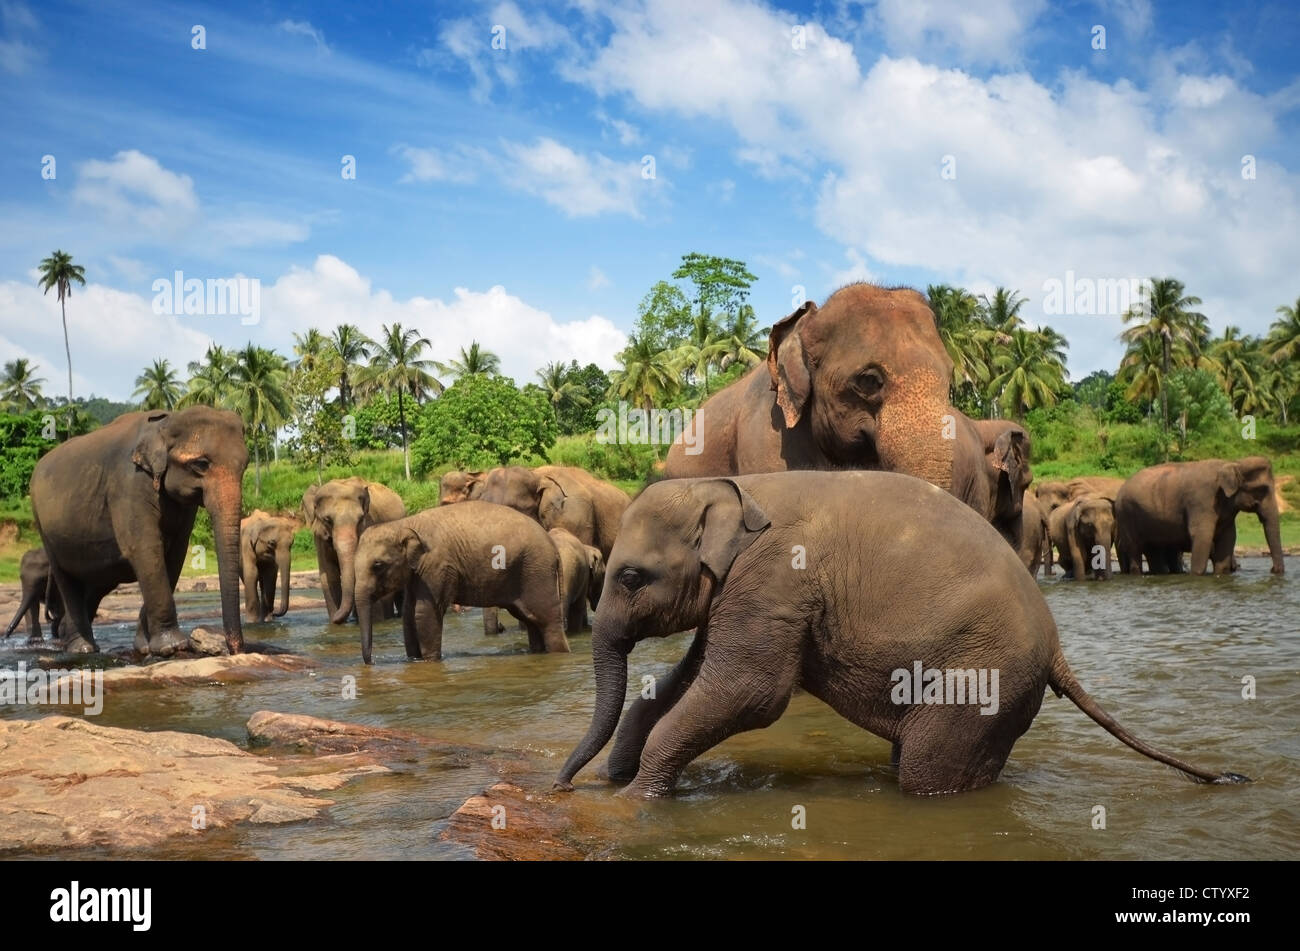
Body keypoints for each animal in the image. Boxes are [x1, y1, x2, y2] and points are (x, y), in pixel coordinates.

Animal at [29, 407, 247, 656]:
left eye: (245, 466)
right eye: (201, 464)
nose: (236, 650)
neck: (166, 422)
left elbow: (174, 556)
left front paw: (144, 647)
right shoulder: (128, 485)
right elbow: (146, 551)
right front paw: (172, 647)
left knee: (93, 585)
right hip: (44, 528)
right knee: (66, 580)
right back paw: (82, 649)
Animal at [303, 477, 406, 624]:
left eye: (361, 519)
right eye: (327, 520)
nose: (335, 618)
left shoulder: (370, 525)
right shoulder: (320, 538)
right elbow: (329, 575)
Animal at [353, 501, 568, 664]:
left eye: (377, 565)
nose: (372, 662)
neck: (404, 523)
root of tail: (554, 547)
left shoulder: (436, 565)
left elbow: (424, 612)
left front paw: (429, 662)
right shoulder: (417, 573)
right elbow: (408, 614)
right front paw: (414, 660)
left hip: (536, 571)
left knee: (547, 620)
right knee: (530, 619)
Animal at [554, 471, 1247, 798]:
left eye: (632, 577)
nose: (561, 784)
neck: (735, 486)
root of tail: (1057, 650)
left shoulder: (774, 579)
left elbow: (750, 691)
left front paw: (638, 798)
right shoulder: (746, 593)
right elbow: (695, 677)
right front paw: (621, 776)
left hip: (982, 676)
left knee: (925, 772)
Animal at [1115, 457, 1284, 576]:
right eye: (1263, 489)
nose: (1273, 570)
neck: (1233, 463)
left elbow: (1228, 537)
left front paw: (1221, 573)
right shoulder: (1202, 501)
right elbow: (1202, 535)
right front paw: (1196, 575)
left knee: (1153, 549)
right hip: (1125, 515)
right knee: (1135, 548)